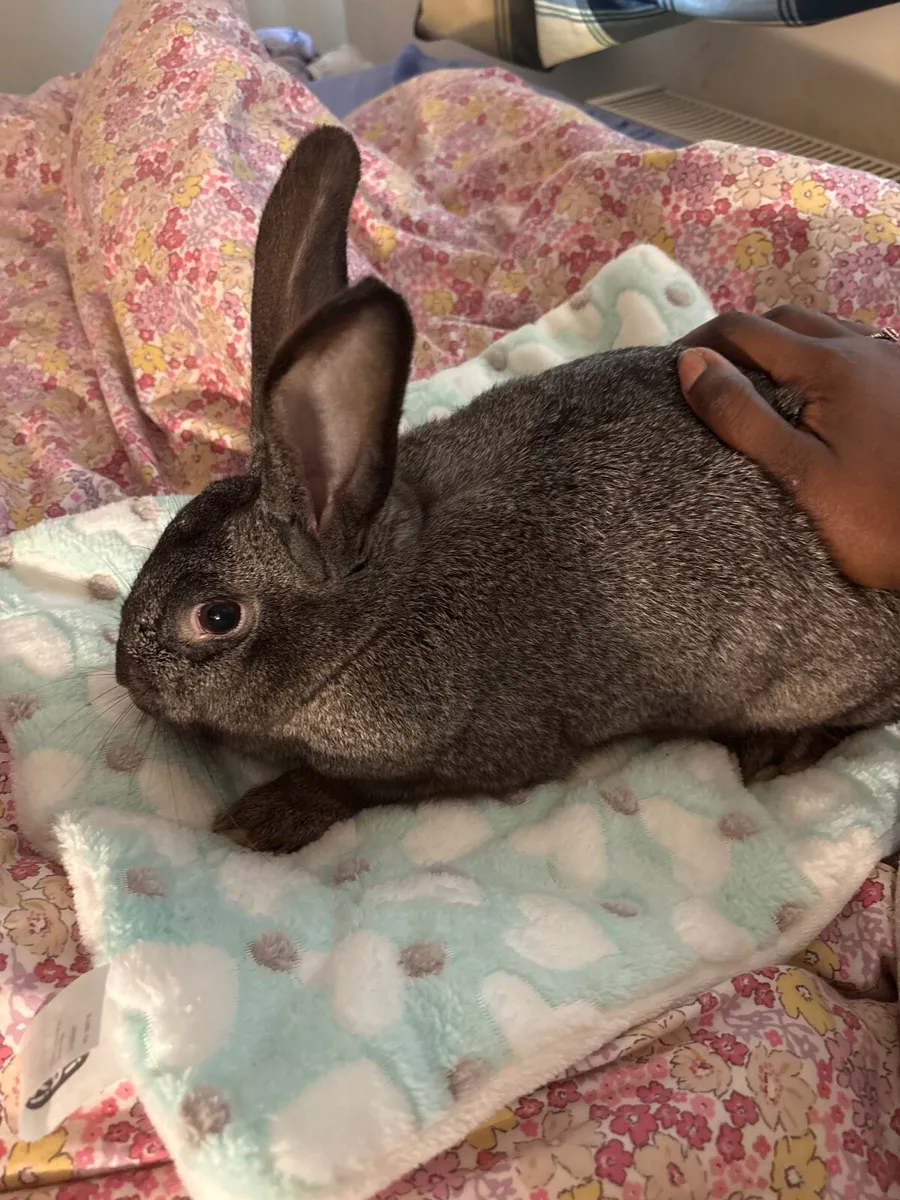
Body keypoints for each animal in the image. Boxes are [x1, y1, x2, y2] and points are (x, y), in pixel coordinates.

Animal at [116, 126, 900, 853]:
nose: (127, 678)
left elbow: (348, 786)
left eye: (217, 617)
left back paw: (776, 751)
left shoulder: (462, 753)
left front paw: (260, 819)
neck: (378, 609)